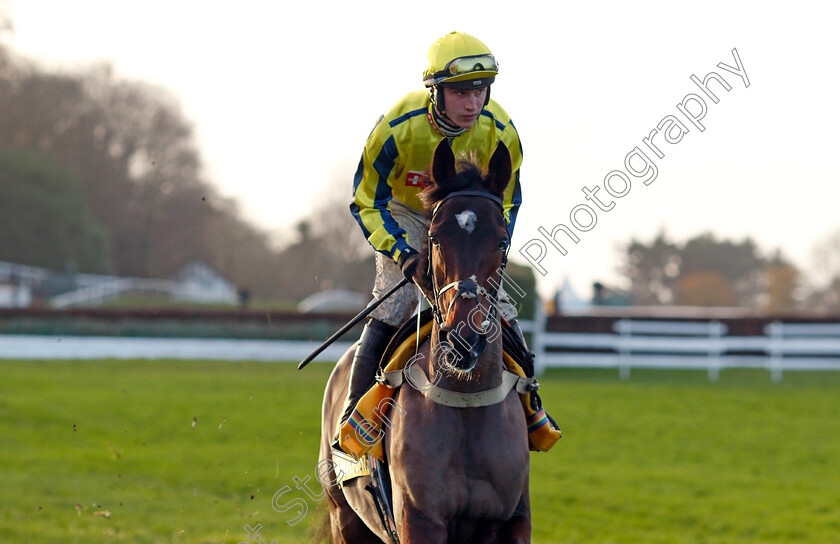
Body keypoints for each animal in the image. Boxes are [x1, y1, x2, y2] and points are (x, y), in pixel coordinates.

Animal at [318, 141, 528, 544]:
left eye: (502, 240)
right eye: (435, 238)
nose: (462, 339)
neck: (467, 404)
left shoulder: (510, 521)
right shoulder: (419, 519)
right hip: (344, 517)